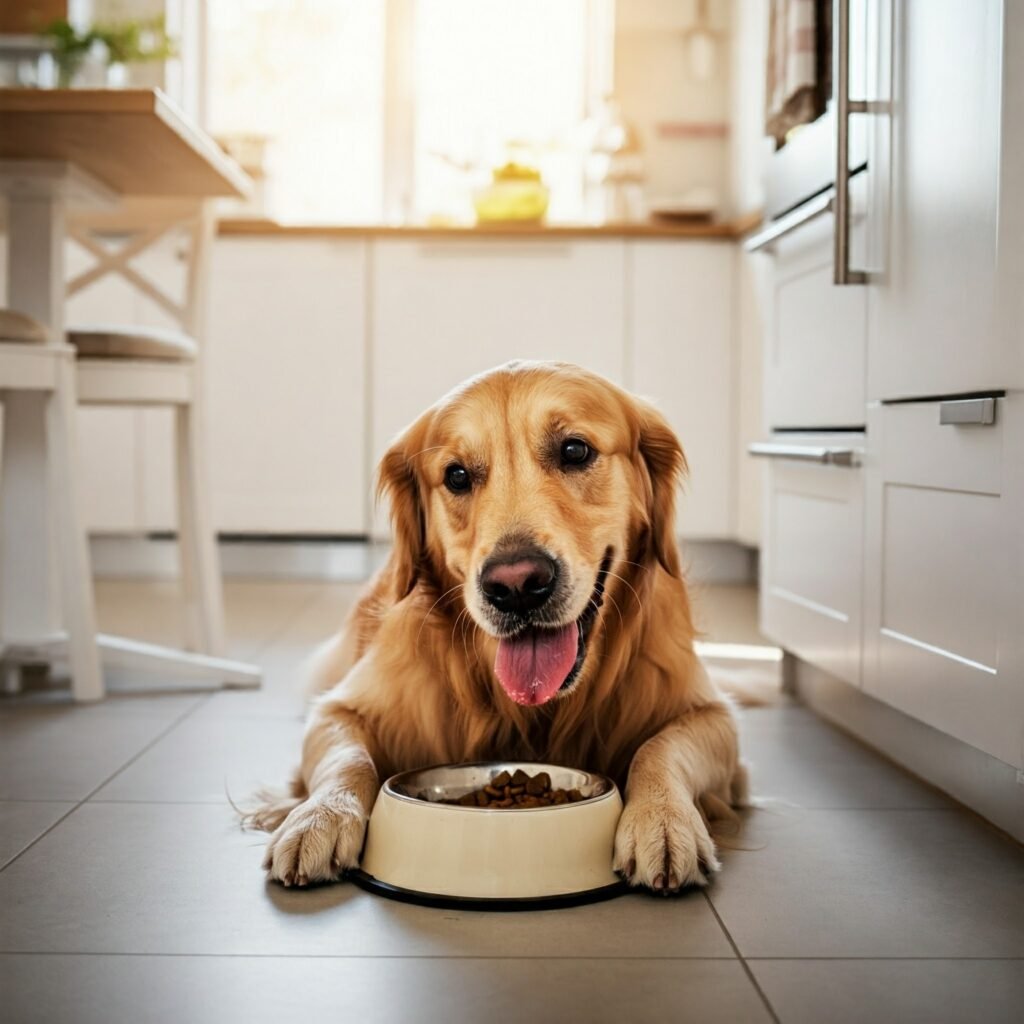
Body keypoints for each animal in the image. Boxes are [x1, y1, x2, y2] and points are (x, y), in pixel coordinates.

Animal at [243, 364, 749, 892]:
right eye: (457, 475)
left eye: (575, 451)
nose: (516, 586)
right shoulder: (340, 707)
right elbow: (349, 758)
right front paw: (317, 817)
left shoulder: (712, 717)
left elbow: (659, 748)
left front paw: (663, 820)